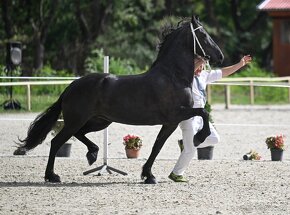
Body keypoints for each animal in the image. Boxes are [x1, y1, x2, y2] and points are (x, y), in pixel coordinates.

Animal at [18, 15, 224, 183]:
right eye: (203, 35)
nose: (220, 56)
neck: (173, 76)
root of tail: (70, 87)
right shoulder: (176, 115)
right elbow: (203, 112)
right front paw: (200, 137)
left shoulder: (171, 122)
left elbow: (157, 146)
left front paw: (148, 175)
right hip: (76, 121)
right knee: (56, 142)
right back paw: (52, 176)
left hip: (99, 121)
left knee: (79, 134)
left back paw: (92, 154)